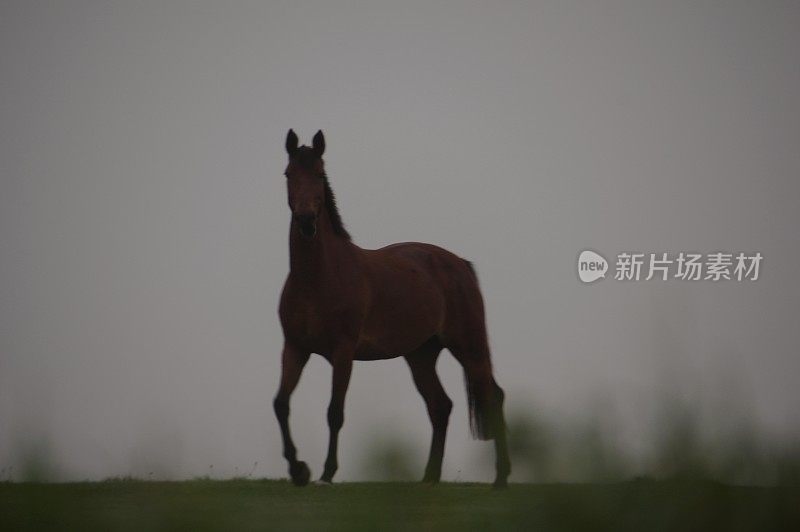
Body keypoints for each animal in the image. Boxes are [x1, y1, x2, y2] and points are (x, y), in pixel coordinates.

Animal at [276, 129, 512, 486]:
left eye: (319, 174)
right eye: (289, 174)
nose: (305, 221)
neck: (318, 279)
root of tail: (458, 263)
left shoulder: (342, 353)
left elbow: (335, 412)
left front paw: (327, 472)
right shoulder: (294, 348)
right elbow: (281, 404)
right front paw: (298, 469)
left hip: (467, 346)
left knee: (492, 395)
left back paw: (500, 477)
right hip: (421, 355)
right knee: (440, 406)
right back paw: (429, 477)